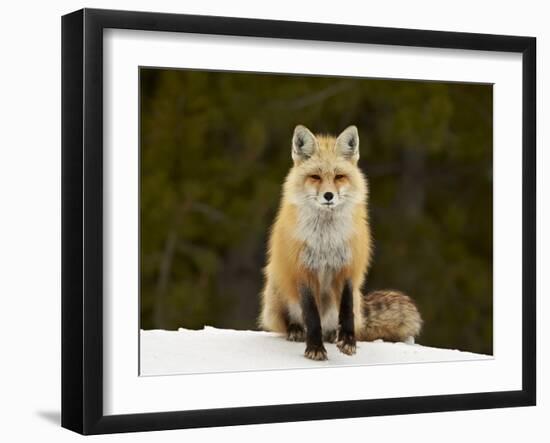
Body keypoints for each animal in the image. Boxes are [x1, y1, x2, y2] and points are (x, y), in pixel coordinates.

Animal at [258, 125, 422, 360]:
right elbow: (312, 316)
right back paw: (296, 330)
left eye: (339, 177)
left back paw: (333, 334)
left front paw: (348, 341)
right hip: (276, 288)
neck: (326, 240)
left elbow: (346, 311)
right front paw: (315, 348)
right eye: (315, 177)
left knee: (341, 320)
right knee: (290, 322)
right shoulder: (304, 270)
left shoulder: (348, 268)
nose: (328, 195)